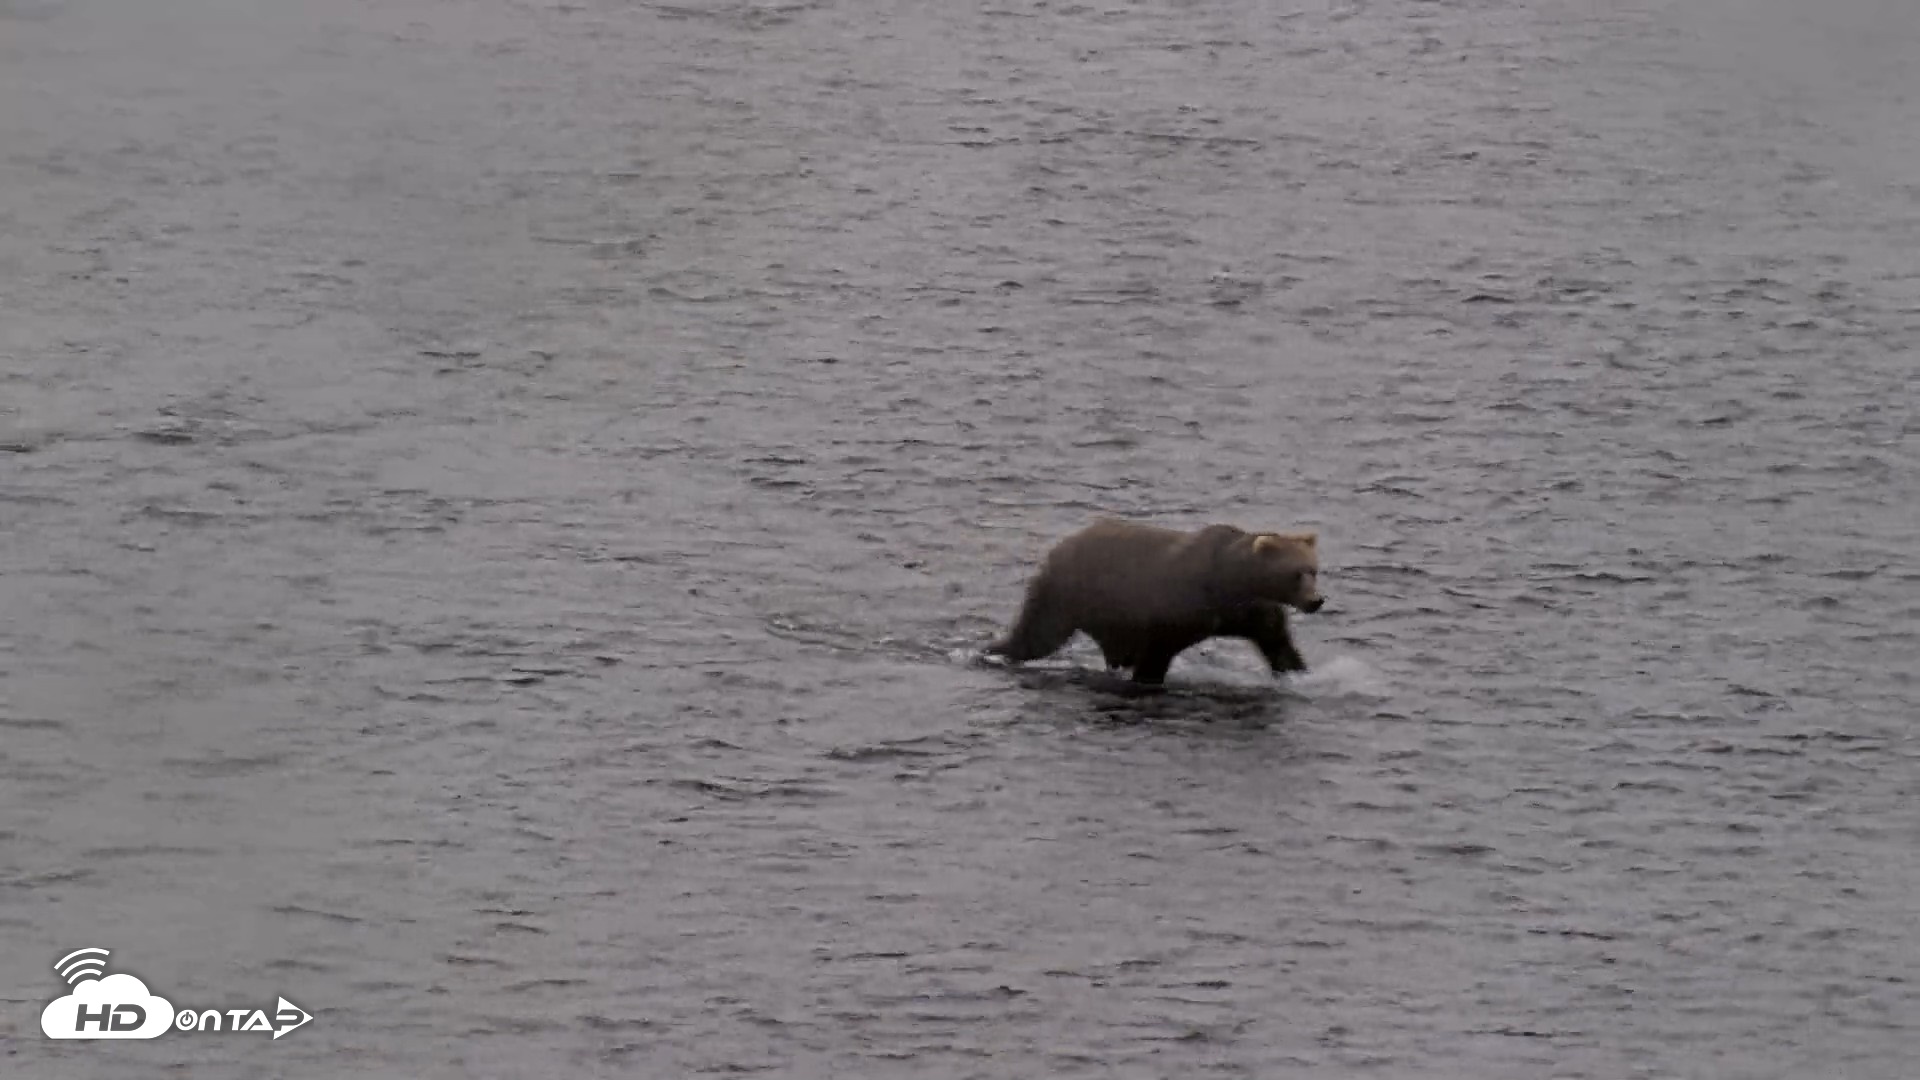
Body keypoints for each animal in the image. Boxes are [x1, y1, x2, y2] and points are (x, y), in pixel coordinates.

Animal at [985, 518, 1324, 686]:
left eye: (1314, 569)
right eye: (1296, 574)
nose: (1316, 600)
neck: (1229, 582)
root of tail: (1058, 546)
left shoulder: (1249, 610)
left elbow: (1277, 641)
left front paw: (1298, 671)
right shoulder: (1180, 607)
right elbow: (1158, 649)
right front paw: (1147, 678)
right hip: (1066, 594)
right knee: (1038, 634)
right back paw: (994, 651)